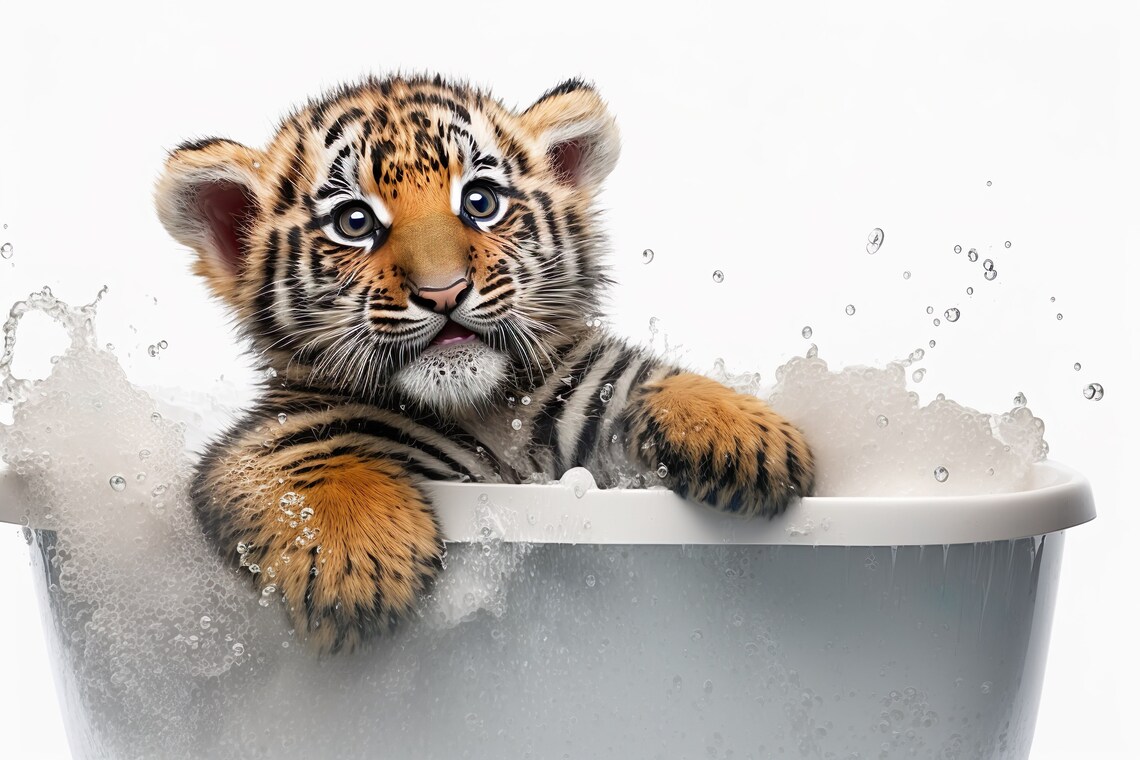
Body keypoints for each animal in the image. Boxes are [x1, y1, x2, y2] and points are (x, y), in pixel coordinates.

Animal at [155, 74, 814, 655]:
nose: (443, 291)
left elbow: (637, 376)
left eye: (480, 201)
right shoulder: (268, 433)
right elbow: (298, 458)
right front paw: (357, 565)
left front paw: (749, 436)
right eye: (354, 222)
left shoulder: (584, 394)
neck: (485, 411)